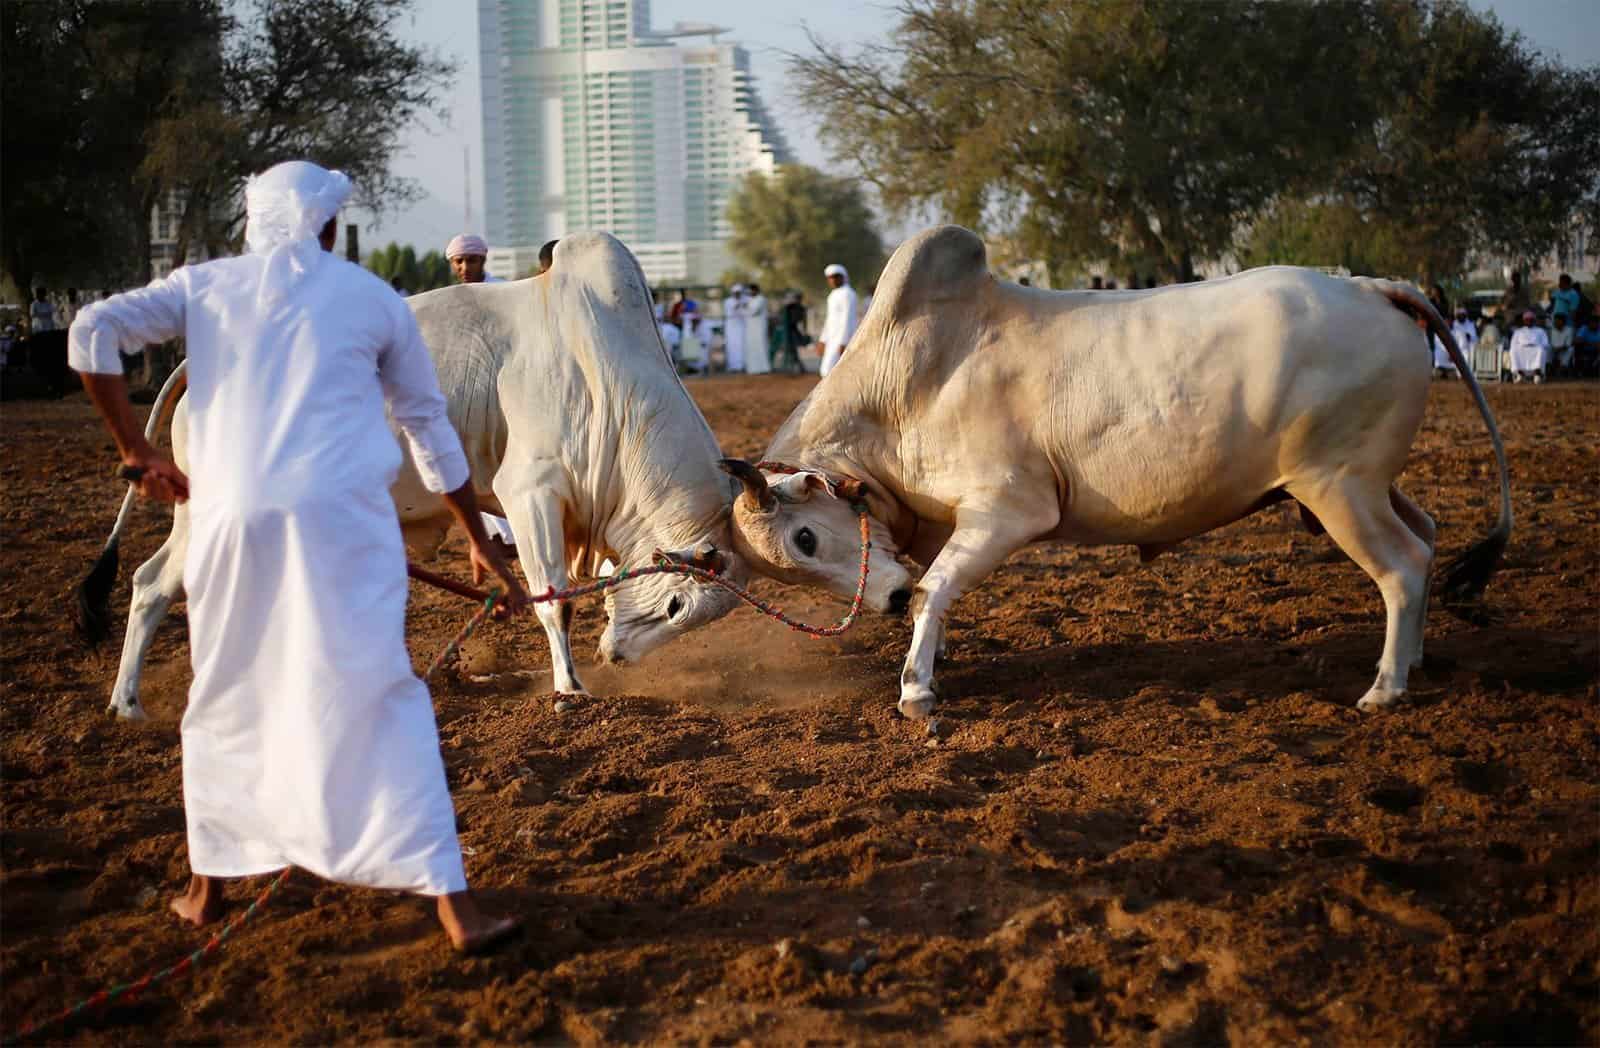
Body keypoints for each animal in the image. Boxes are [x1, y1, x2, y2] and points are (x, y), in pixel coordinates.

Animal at [79, 232, 742, 716]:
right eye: (677, 606)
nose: (618, 656)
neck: (611, 380)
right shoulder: (530, 493)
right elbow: (554, 601)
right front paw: (569, 690)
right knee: (158, 583)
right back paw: (137, 703)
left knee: (159, 582)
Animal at [726, 225, 1510, 723]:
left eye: (804, 537)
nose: (880, 601)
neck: (906, 386)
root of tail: (1376, 288)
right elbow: (932, 595)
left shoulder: (1008, 509)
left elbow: (934, 587)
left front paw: (916, 689)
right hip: (1363, 486)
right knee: (1427, 538)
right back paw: (1417, 663)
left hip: (1339, 486)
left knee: (1402, 567)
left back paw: (1384, 689)